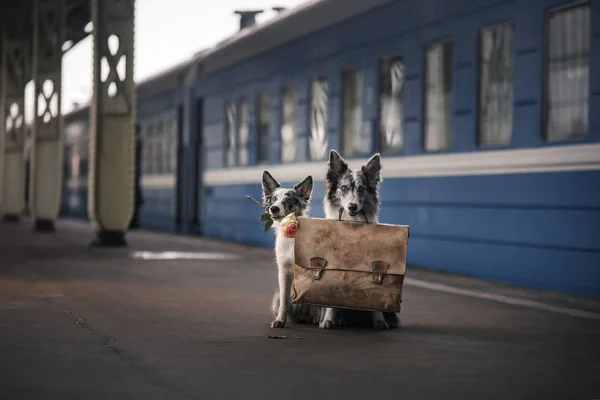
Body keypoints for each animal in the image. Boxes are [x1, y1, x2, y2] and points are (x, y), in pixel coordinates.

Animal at [318, 148, 398, 330]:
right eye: (343, 188)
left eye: (362, 189)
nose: (352, 207)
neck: (352, 221)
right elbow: (329, 301)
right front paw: (328, 320)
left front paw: (379, 320)